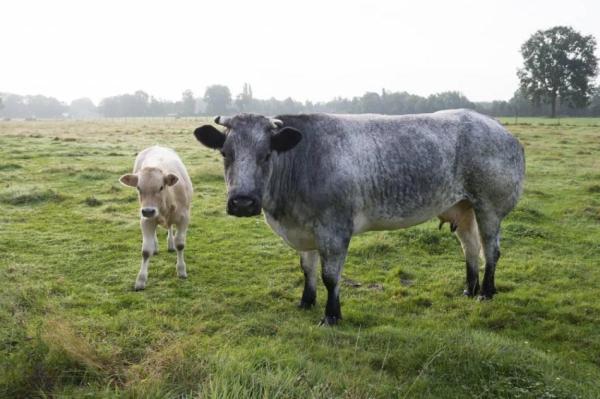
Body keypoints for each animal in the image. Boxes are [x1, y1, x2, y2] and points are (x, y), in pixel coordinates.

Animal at [193, 108, 524, 324]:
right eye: (225, 153)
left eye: (266, 155)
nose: (243, 202)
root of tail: (500, 129)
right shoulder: (305, 229)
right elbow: (307, 269)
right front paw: (306, 302)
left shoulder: (334, 229)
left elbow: (330, 276)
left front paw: (331, 315)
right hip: (463, 207)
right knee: (470, 248)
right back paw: (469, 289)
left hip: (489, 206)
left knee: (491, 250)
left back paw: (486, 292)